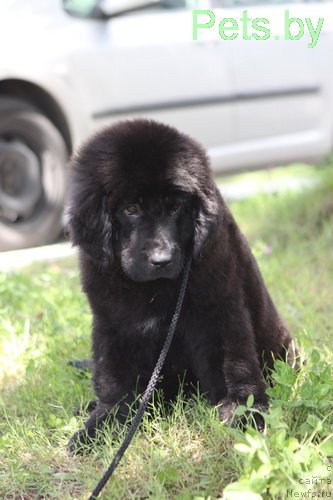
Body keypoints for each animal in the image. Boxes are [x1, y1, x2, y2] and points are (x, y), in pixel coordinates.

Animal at [66, 119, 296, 452]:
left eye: (175, 208)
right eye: (131, 210)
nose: (161, 260)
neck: (152, 289)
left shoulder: (219, 309)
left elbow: (233, 364)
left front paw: (244, 412)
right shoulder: (112, 325)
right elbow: (114, 380)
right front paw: (103, 423)